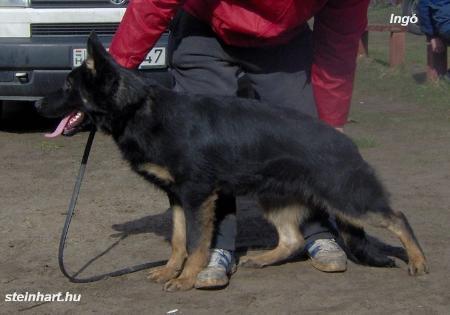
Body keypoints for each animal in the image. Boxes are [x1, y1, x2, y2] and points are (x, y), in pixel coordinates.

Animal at [37, 33, 428, 292]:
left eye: (68, 85)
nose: (38, 105)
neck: (138, 109)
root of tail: (346, 143)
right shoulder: (178, 198)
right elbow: (179, 240)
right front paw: (171, 271)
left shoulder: (197, 197)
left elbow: (196, 243)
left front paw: (188, 278)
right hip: (275, 199)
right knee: (292, 240)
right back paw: (262, 258)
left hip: (348, 201)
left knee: (398, 218)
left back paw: (419, 261)